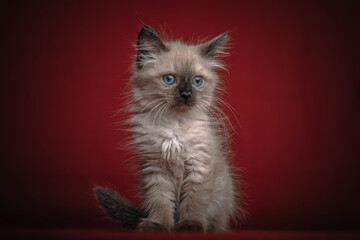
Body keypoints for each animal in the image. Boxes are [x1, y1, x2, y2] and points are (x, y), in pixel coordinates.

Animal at [93, 25, 245, 232]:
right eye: (169, 79)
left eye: (197, 81)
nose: (186, 94)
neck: (174, 125)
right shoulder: (155, 169)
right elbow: (160, 201)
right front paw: (159, 225)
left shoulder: (199, 167)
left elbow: (194, 201)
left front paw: (190, 225)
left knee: (217, 223)